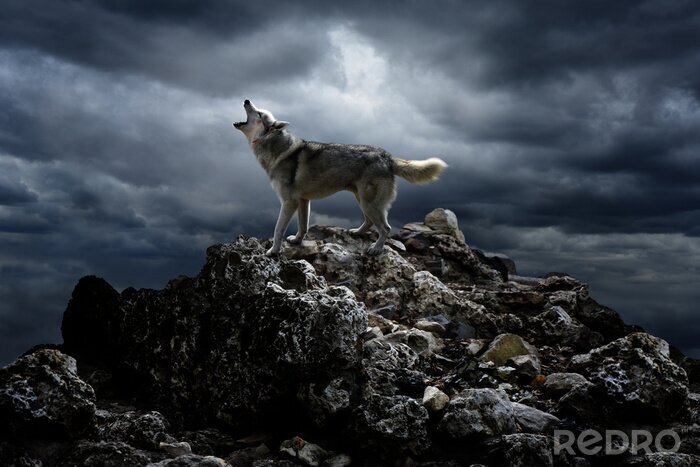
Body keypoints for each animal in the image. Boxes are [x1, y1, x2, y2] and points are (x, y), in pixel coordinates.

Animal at [233, 99, 447, 256]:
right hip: (362, 200)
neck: (276, 149)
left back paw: (376, 249)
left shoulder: (289, 202)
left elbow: (278, 229)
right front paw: (297, 241)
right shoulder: (303, 201)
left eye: (259, 113)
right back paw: (356, 232)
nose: (246, 100)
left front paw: (273, 251)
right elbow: (303, 226)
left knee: (385, 228)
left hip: (369, 202)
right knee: (370, 222)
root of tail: (388, 156)